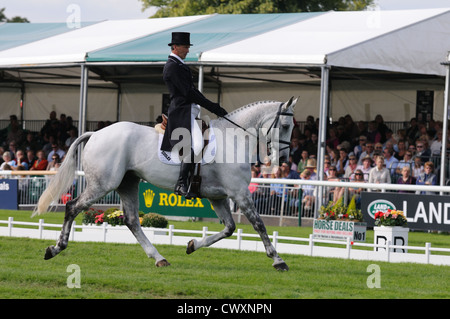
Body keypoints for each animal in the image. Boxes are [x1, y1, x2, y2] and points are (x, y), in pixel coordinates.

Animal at [33, 97, 298, 270]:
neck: (233, 140)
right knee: (73, 207)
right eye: (285, 126)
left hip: (127, 183)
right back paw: (54, 249)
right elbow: (259, 224)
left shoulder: (218, 197)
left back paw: (159, 257)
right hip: (102, 185)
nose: (284, 159)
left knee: (132, 221)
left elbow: (229, 228)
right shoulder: (240, 193)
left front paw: (192, 245)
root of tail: (96, 134)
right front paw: (278, 260)